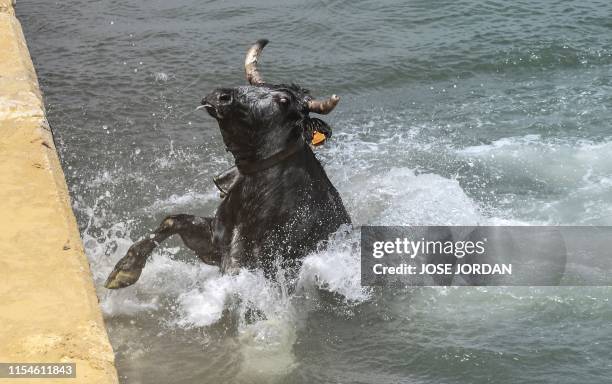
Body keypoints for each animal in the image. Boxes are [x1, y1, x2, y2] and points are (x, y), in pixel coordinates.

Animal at [106, 40, 350, 290]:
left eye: (284, 101)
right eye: (255, 85)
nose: (220, 95)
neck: (255, 196)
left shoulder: (253, 264)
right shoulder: (214, 240)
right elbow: (171, 220)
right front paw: (124, 270)